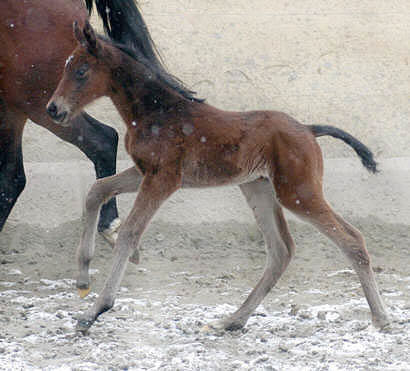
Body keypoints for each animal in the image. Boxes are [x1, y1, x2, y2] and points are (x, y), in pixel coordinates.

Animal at [46, 22, 390, 334]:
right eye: (66, 67)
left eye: (81, 71)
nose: (53, 109)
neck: (157, 112)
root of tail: (308, 129)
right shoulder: (146, 172)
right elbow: (97, 190)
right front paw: (82, 277)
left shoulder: (163, 179)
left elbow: (130, 232)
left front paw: (94, 312)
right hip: (258, 188)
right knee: (281, 250)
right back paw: (231, 321)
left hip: (297, 192)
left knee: (351, 240)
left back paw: (381, 318)